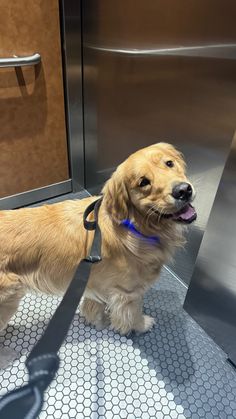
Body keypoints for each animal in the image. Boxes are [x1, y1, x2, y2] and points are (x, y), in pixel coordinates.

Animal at [0, 143, 196, 336]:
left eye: (169, 163)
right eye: (143, 182)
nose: (183, 190)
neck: (132, 225)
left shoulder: (94, 283)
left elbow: (93, 305)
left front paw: (97, 321)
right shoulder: (127, 292)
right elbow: (133, 314)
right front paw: (142, 325)